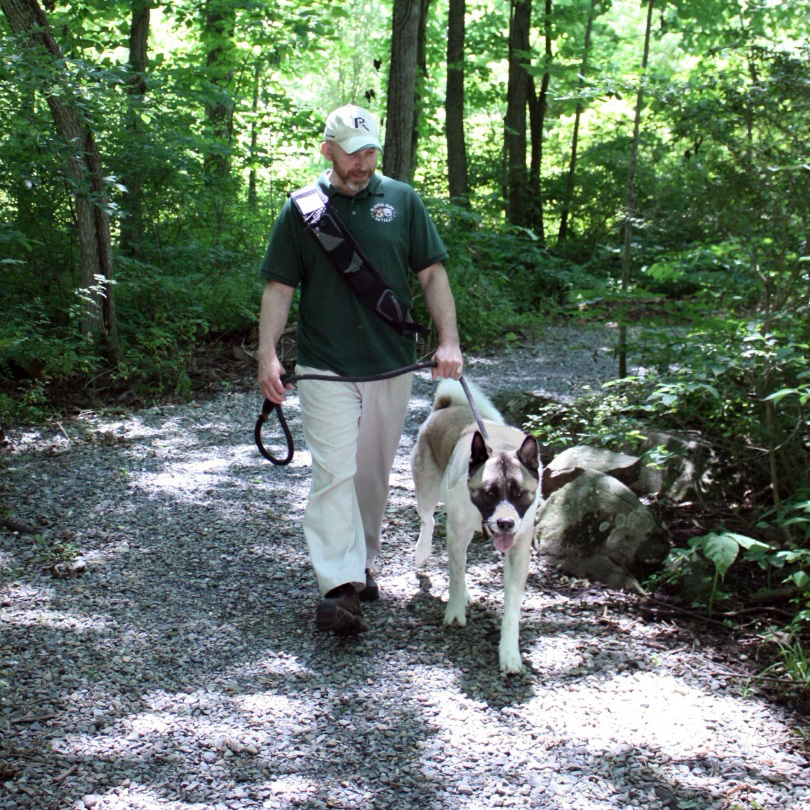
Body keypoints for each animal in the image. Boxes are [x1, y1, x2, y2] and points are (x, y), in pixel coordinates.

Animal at [414, 378, 540, 676]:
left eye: (519, 494)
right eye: (490, 492)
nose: (506, 522)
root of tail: (447, 405)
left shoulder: (519, 551)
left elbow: (512, 605)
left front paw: (509, 653)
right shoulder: (456, 533)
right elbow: (456, 574)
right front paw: (455, 611)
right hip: (426, 491)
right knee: (428, 520)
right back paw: (422, 552)